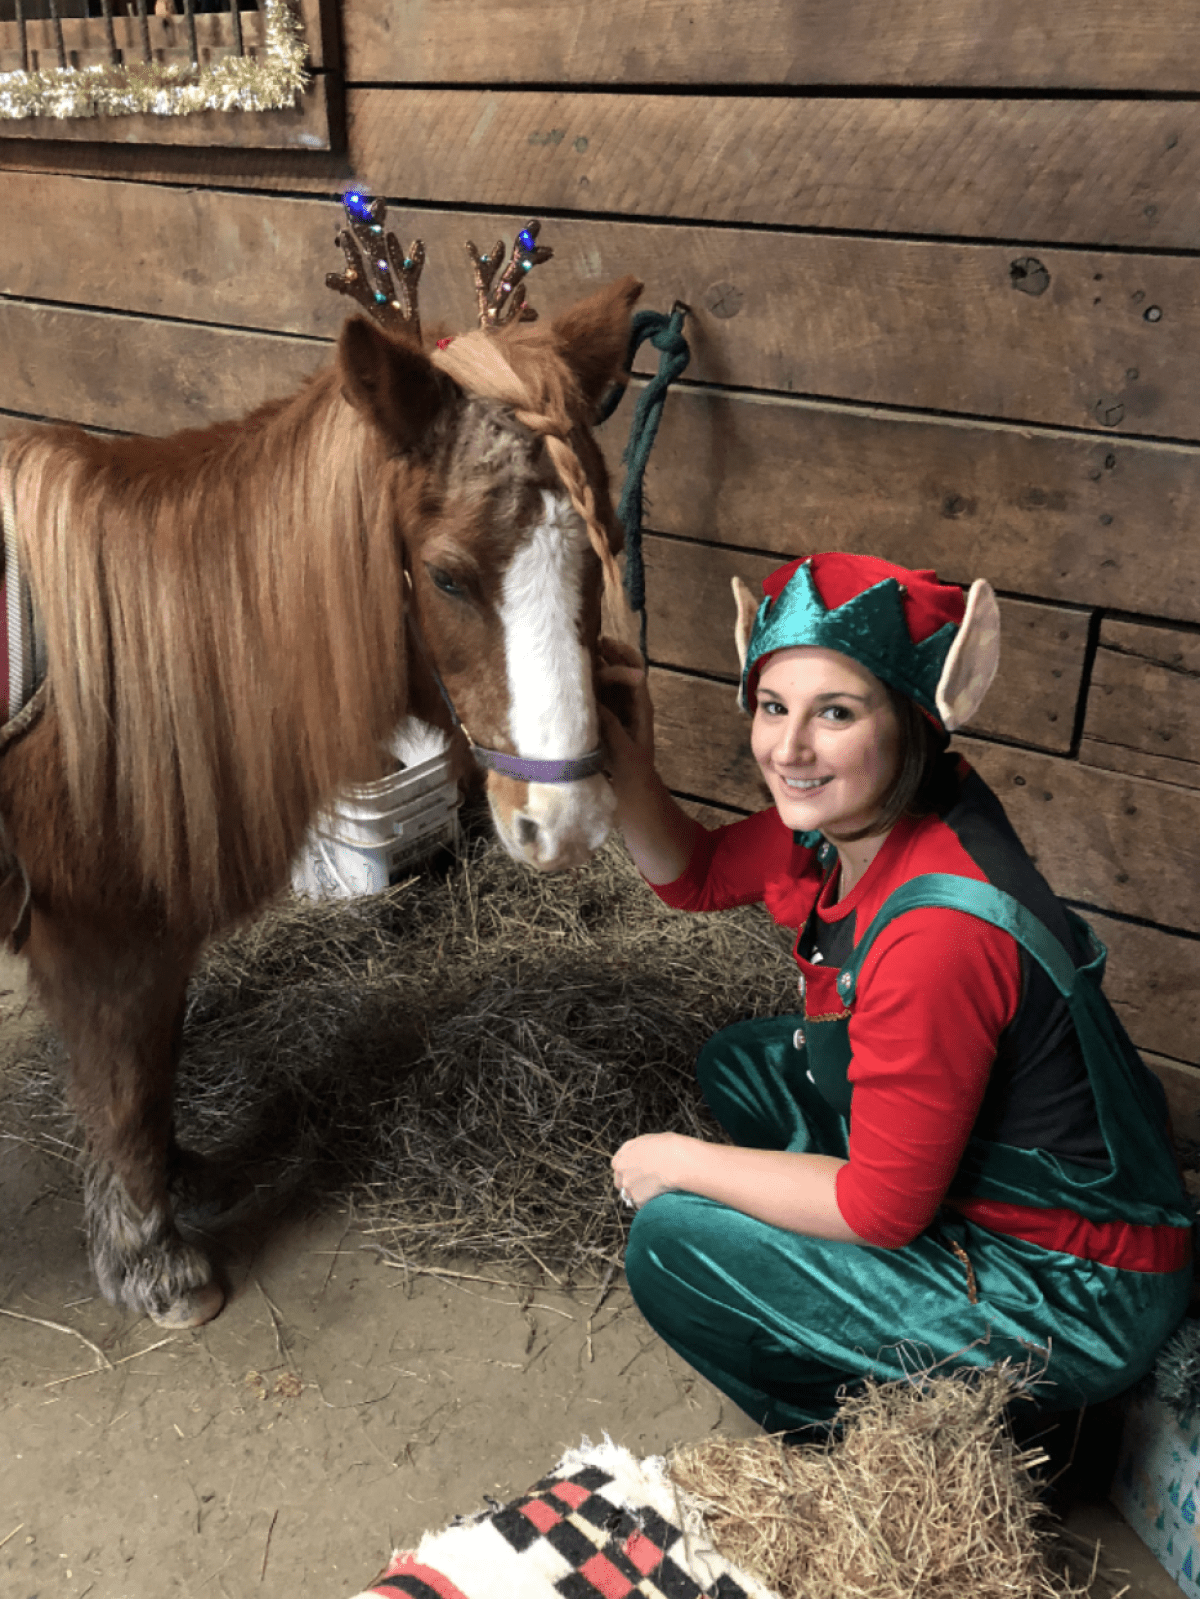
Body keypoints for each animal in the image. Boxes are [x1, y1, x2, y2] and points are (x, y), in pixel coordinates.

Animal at [0, 270, 643, 1329]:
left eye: (605, 547)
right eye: (448, 575)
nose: (570, 824)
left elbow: (156, 1061)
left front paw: (176, 1177)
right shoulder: (99, 929)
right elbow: (123, 1080)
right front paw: (151, 1258)